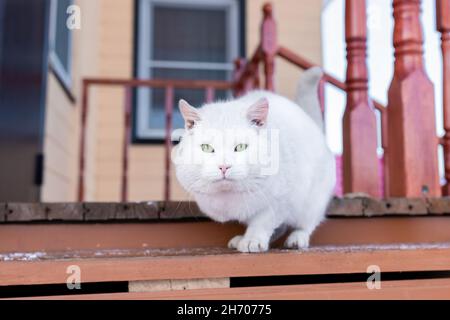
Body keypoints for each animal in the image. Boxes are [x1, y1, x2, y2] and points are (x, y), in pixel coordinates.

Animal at [174, 67, 336, 252]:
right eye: (206, 148)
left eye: (241, 147)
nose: (224, 166)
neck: (227, 197)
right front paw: (246, 239)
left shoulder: (280, 201)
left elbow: (262, 222)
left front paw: (253, 240)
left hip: (311, 202)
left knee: (307, 223)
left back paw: (297, 239)